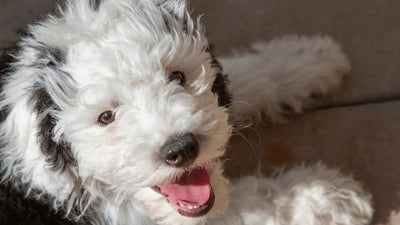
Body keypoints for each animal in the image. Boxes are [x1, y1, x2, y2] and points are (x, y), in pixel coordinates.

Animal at [0, 0, 376, 225]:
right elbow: (254, 203)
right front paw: (328, 196)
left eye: (177, 77)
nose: (180, 149)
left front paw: (306, 60)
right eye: (106, 117)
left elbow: (247, 74)